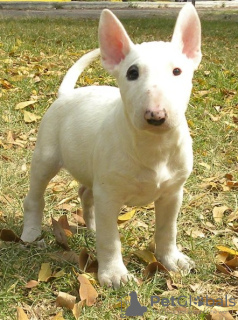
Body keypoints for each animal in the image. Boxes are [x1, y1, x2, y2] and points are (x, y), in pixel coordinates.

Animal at [21, 3, 201, 288]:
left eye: (177, 71)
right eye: (132, 73)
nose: (156, 116)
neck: (153, 146)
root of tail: (67, 94)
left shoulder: (173, 193)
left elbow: (167, 230)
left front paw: (172, 260)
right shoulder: (109, 195)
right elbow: (110, 239)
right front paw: (115, 274)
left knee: (86, 193)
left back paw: (92, 226)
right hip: (45, 158)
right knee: (35, 198)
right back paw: (31, 232)